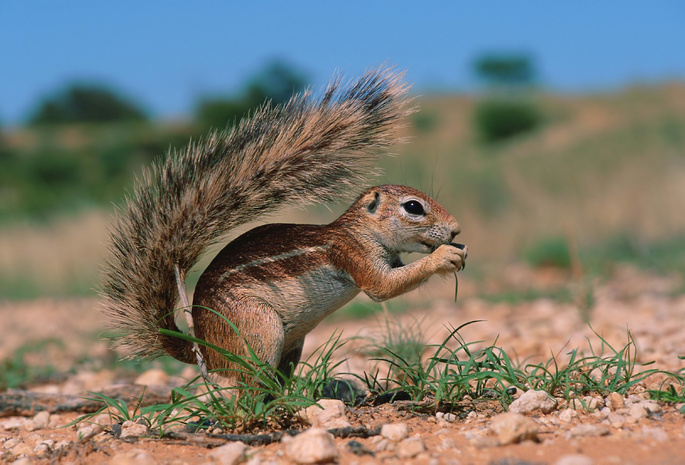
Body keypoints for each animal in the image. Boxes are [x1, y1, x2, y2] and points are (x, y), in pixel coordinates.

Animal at [100, 65, 464, 384]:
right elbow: (383, 287)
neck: (358, 230)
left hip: (291, 345)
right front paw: (445, 256)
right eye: (413, 207)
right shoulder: (352, 254)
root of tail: (204, 347)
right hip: (258, 328)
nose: (456, 229)